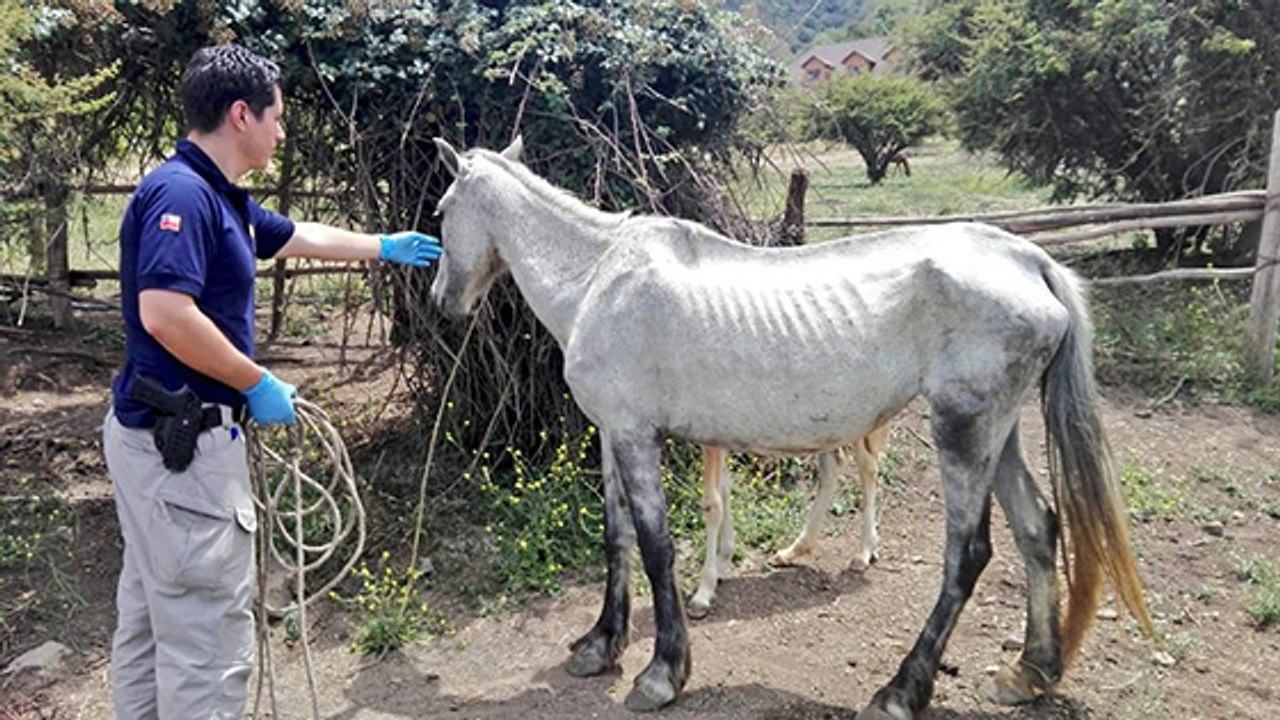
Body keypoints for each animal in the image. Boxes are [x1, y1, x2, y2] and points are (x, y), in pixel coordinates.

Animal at [690, 423, 892, 619]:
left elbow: (712, 505)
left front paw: (703, 594)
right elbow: (724, 487)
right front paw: (722, 563)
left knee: (867, 464)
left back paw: (864, 551)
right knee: (834, 463)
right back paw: (793, 551)